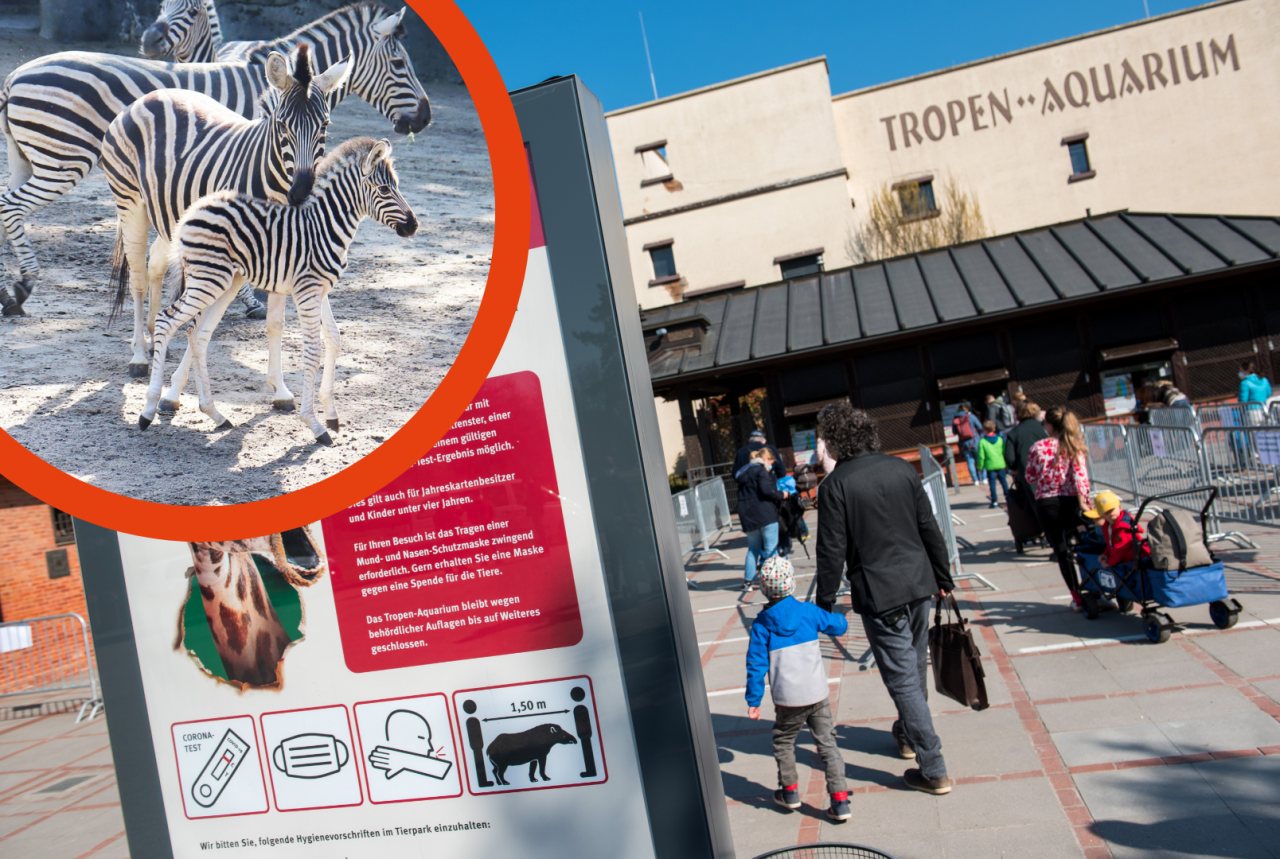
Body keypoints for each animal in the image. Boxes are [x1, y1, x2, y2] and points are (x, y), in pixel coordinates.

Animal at [0, 2, 430, 316]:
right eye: (400, 65)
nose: (425, 118)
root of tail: (15, 75)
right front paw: (249, 300)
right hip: (63, 158)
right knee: (12, 207)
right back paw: (25, 283)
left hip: (27, 157)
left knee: (8, 209)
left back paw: (11, 290)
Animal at [103, 45, 350, 378]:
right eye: (282, 126)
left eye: (324, 126)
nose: (300, 192)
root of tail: (152, 96)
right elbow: (203, 321)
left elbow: (282, 323)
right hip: (130, 202)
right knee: (139, 277)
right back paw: (140, 355)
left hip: (171, 212)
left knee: (155, 263)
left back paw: (154, 338)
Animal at [142, 137, 417, 448]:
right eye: (384, 189)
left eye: (396, 186)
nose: (414, 225)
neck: (324, 227)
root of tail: (193, 210)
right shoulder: (307, 291)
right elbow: (312, 351)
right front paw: (314, 424)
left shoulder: (320, 290)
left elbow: (333, 339)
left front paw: (331, 414)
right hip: (208, 279)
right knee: (166, 320)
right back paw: (148, 410)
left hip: (226, 281)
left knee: (198, 334)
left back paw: (215, 415)